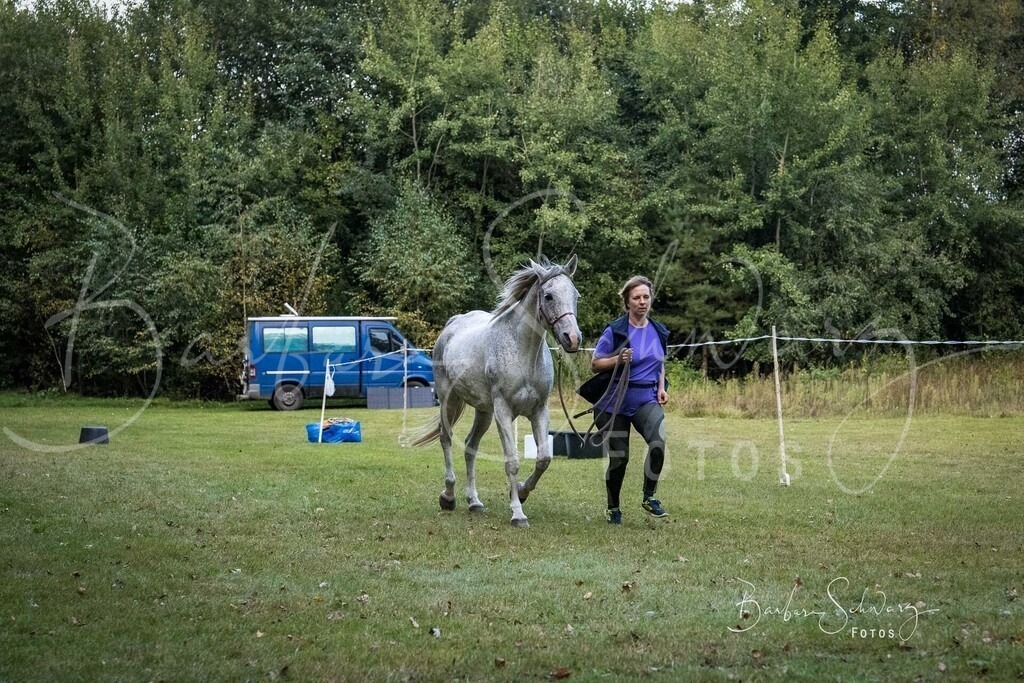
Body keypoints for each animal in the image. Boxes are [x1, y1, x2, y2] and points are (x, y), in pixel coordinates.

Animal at [410, 256, 582, 527]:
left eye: (575, 295)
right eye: (549, 296)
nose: (572, 338)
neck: (523, 352)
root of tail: (452, 325)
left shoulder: (539, 410)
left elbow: (544, 459)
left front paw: (522, 492)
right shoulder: (503, 411)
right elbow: (511, 461)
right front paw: (518, 514)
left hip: (484, 412)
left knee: (470, 446)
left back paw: (474, 501)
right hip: (450, 401)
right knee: (446, 438)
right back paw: (448, 497)